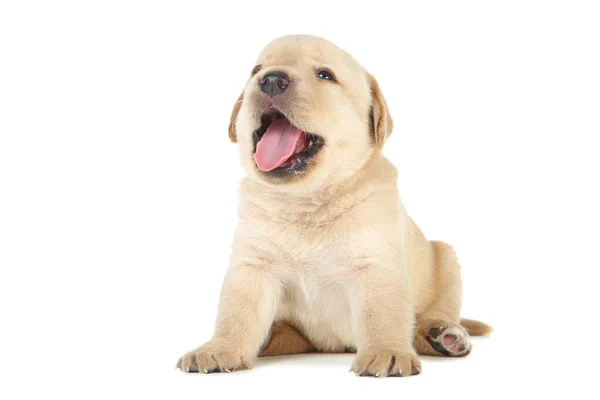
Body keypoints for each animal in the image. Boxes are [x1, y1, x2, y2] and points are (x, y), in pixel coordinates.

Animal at [176, 35, 490, 378]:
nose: (270, 79)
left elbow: (383, 315)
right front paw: (219, 349)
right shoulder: (253, 266)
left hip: (445, 258)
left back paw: (442, 335)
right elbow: (235, 314)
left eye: (325, 75)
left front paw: (387, 352)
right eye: (256, 71)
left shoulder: (375, 264)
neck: (306, 201)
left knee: (436, 313)